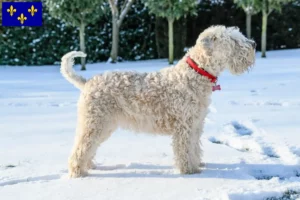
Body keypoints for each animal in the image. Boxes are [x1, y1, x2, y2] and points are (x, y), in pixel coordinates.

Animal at [61, 25, 255, 178]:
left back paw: (89, 166)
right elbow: (184, 150)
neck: (195, 74)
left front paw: (197, 165)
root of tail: (87, 82)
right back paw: (78, 172)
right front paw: (189, 171)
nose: (253, 44)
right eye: (233, 40)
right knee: (81, 148)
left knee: (89, 146)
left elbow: (194, 148)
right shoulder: (184, 126)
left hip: (104, 125)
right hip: (94, 123)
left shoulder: (196, 124)